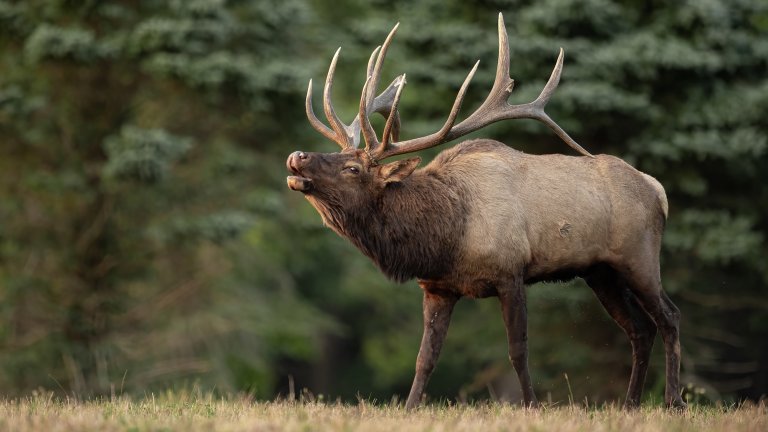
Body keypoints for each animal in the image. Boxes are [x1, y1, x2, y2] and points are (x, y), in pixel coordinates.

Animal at [286, 13, 685, 410]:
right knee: (640, 329)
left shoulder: (511, 272)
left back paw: (673, 401)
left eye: (353, 168)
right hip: (600, 272)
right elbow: (425, 358)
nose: (297, 156)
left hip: (638, 258)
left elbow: (518, 351)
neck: (447, 236)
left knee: (669, 316)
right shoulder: (437, 287)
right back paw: (631, 403)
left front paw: (532, 405)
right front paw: (410, 407)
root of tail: (657, 189)